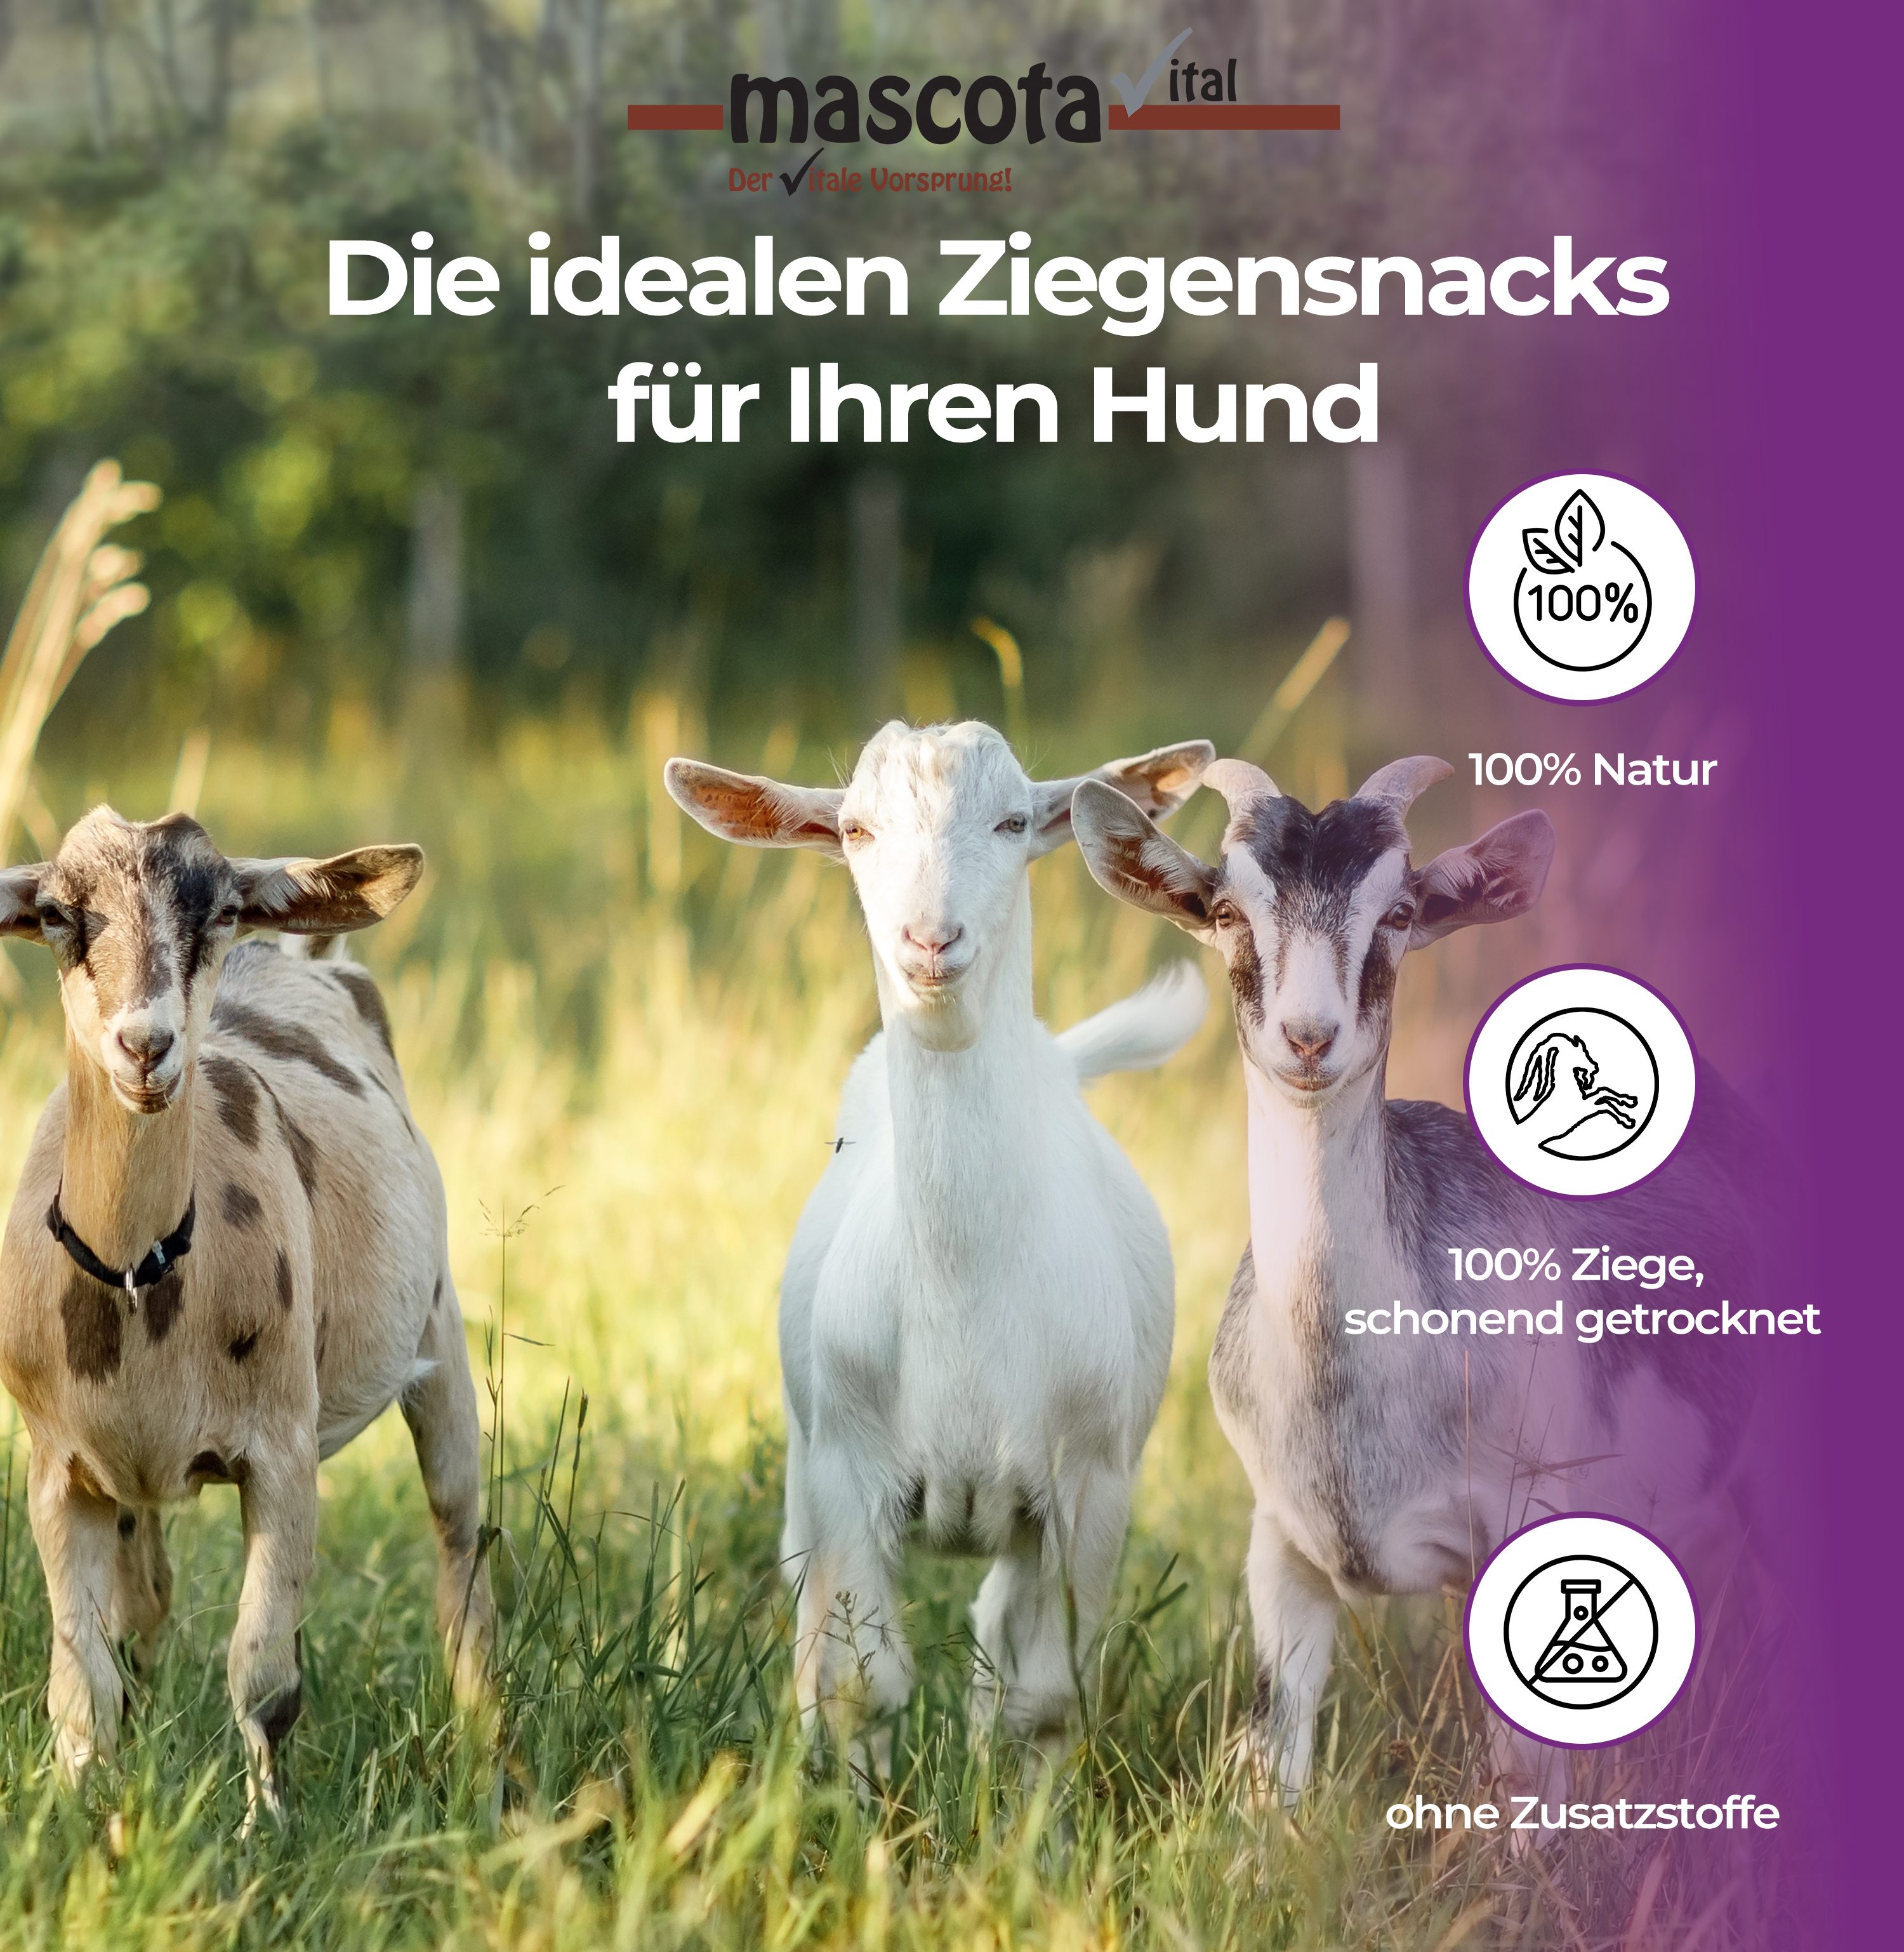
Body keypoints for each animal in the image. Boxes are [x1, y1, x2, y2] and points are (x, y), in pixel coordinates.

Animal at [0, 811, 492, 1822]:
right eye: (56, 912)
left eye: (221, 908)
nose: (145, 1045)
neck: (139, 1279)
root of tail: (303, 950)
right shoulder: (57, 1467)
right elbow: (82, 1679)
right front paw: (80, 1810)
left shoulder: (281, 1449)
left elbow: (264, 1676)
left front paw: (267, 1827)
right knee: (147, 1600)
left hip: (439, 1333)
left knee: (460, 1536)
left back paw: (483, 1750)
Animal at [666, 721, 1211, 1770]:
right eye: (855, 829)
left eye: (1014, 822)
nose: (929, 940)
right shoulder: (843, 1468)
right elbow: (856, 1682)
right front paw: (859, 1813)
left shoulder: (1089, 1483)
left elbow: (1045, 1696)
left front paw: (1028, 1817)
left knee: (1000, 1633)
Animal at [1072, 755, 1759, 1802]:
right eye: (1227, 910)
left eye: (1398, 912)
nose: (1309, 1037)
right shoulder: (1281, 1541)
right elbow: (1277, 1752)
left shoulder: (1533, 1506)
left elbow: (1527, 1769)